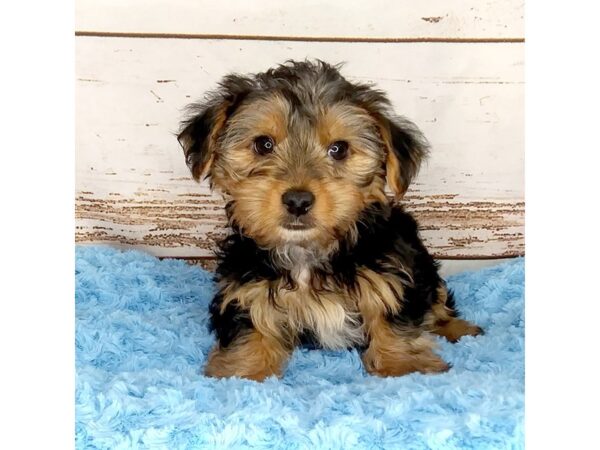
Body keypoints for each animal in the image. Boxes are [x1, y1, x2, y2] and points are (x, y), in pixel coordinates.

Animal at [178, 58, 482, 378]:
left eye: (339, 149)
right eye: (263, 145)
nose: (298, 200)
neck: (307, 253)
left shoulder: (394, 272)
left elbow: (392, 315)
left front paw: (403, 365)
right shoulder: (245, 286)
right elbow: (252, 325)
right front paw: (243, 370)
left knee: (438, 301)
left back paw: (460, 329)